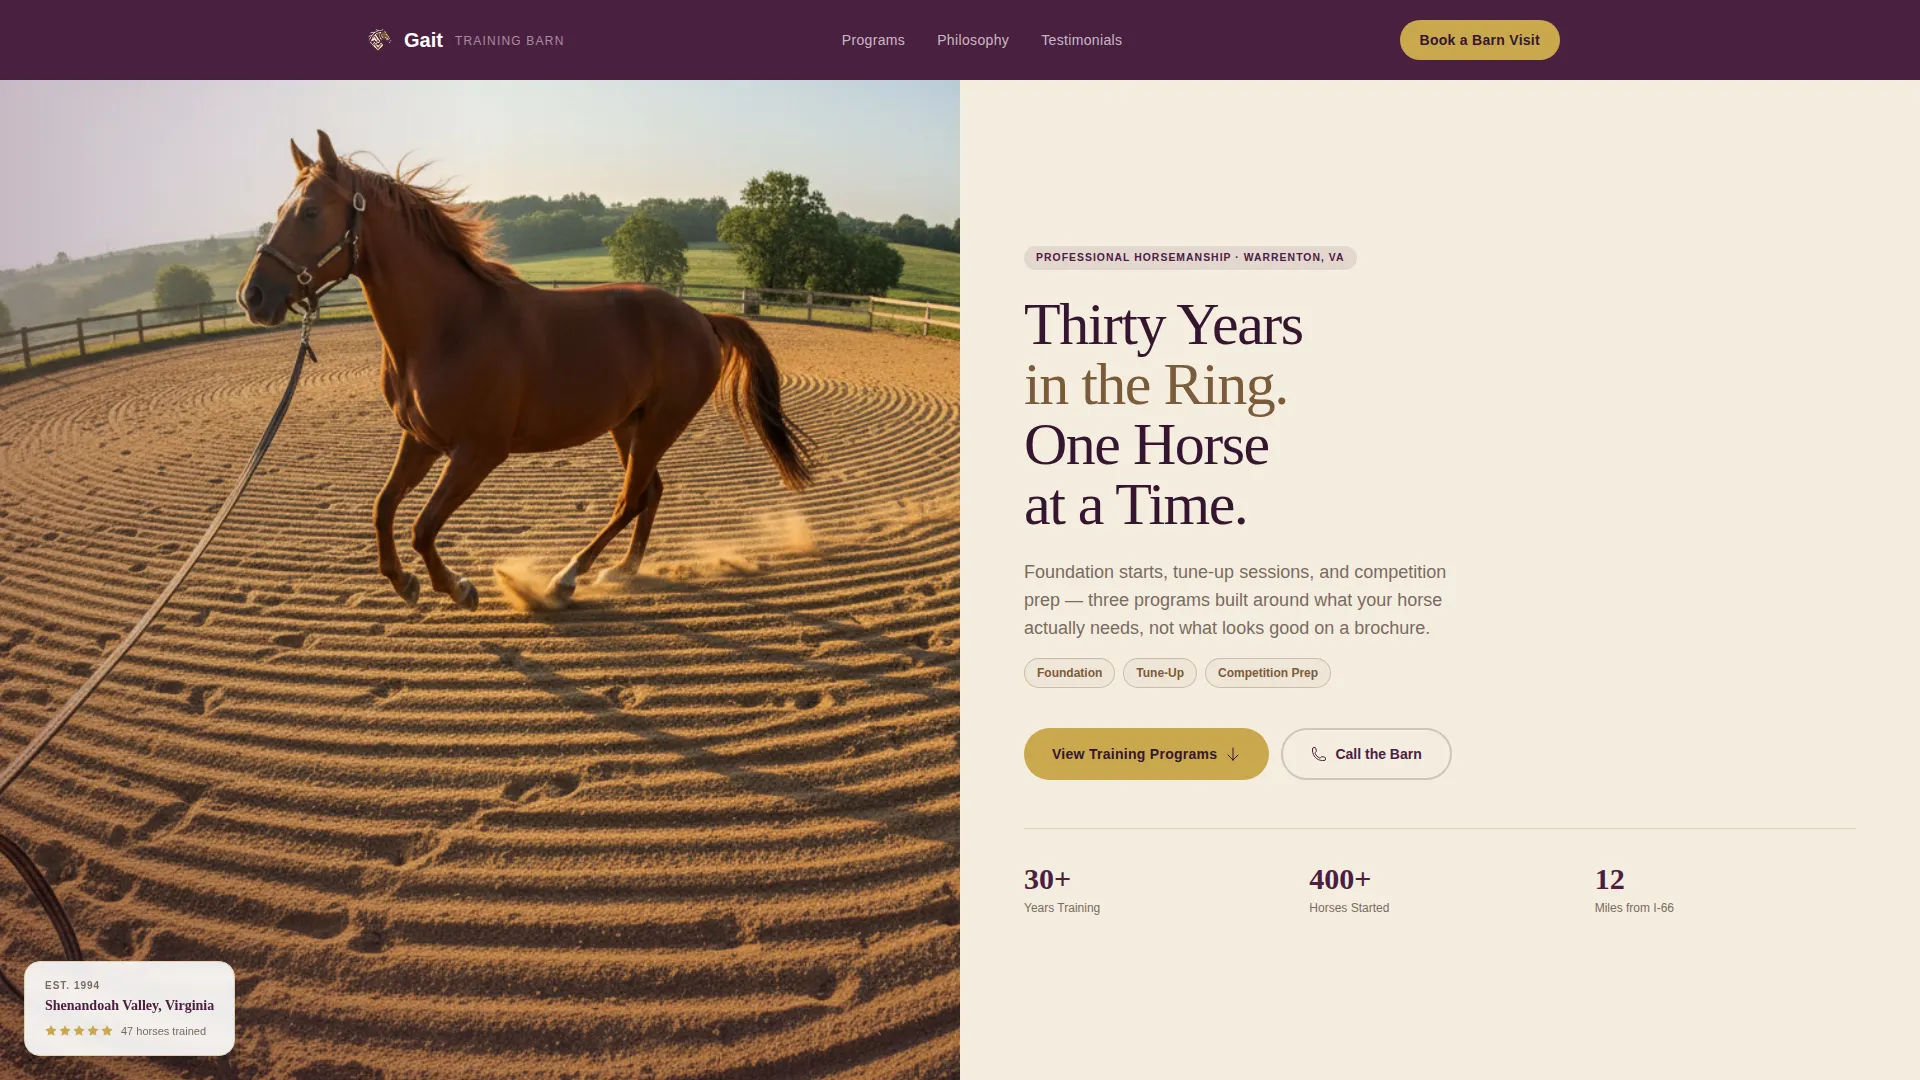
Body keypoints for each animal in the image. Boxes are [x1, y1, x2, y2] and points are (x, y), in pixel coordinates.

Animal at [237, 131, 814, 611]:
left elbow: (423, 526)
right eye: (282, 208)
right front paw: (405, 583)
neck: (448, 327)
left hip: (659, 426)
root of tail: (702, 319)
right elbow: (382, 509)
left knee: (629, 499)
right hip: (629, 426)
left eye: (310, 211)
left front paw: (459, 588)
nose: (253, 295)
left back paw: (565, 580)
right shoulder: (421, 440)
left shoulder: (478, 452)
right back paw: (622, 572)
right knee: (649, 494)